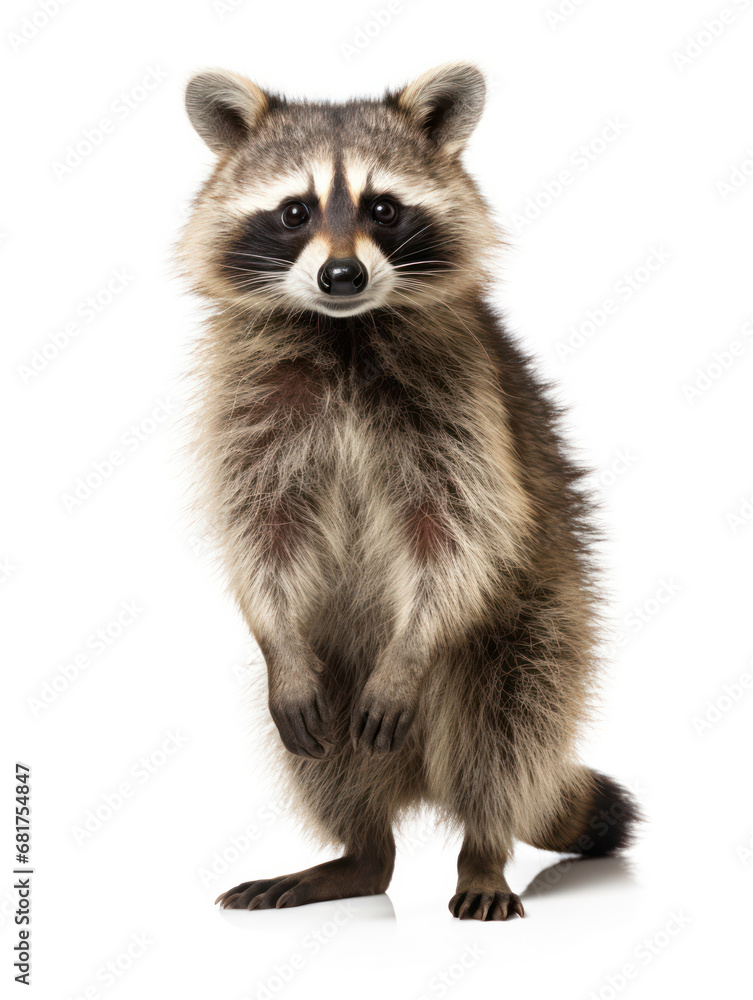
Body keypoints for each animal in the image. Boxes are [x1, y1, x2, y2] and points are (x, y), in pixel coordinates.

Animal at [180, 62, 638, 921]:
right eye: (294, 211)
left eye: (382, 209)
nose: (341, 274)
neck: (343, 329)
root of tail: (422, 775)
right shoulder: (254, 404)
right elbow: (262, 528)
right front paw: (270, 627)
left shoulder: (462, 400)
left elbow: (459, 531)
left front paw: (413, 646)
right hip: (332, 669)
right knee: (331, 763)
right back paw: (359, 852)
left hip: (537, 620)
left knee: (509, 725)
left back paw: (483, 848)